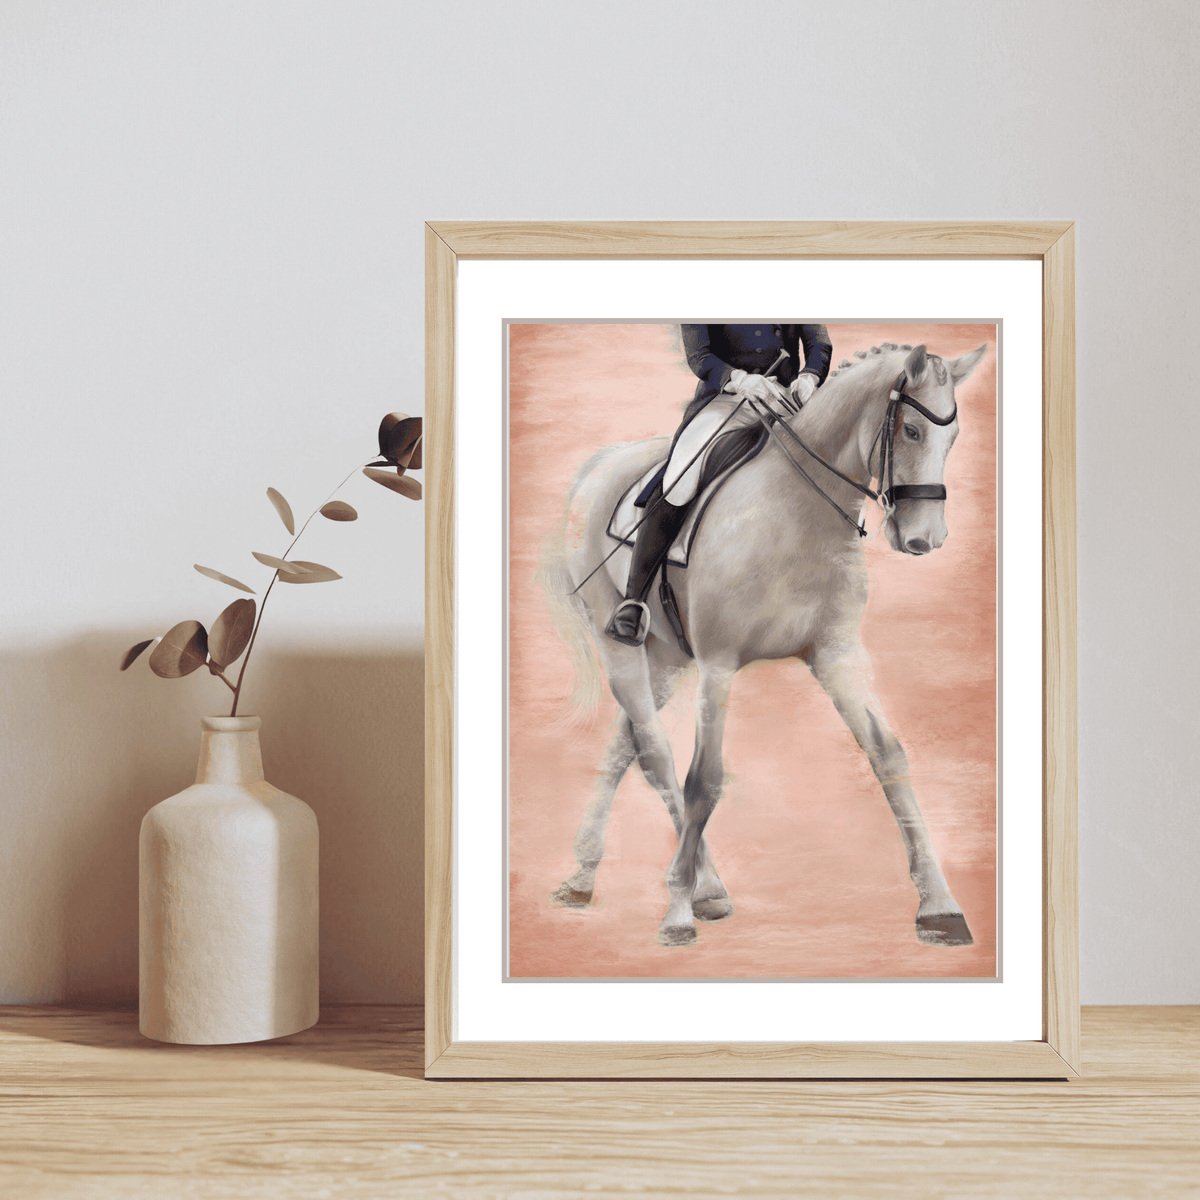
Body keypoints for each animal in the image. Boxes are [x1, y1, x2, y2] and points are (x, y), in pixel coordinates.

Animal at [541, 341, 988, 949]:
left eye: (955, 437)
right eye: (913, 431)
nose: (926, 539)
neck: (798, 510)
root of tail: (604, 462)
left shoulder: (836, 655)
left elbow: (889, 755)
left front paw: (939, 906)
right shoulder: (719, 665)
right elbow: (704, 780)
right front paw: (676, 912)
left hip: (665, 657)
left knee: (626, 747)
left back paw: (588, 877)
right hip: (621, 647)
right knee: (657, 755)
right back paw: (697, 888)